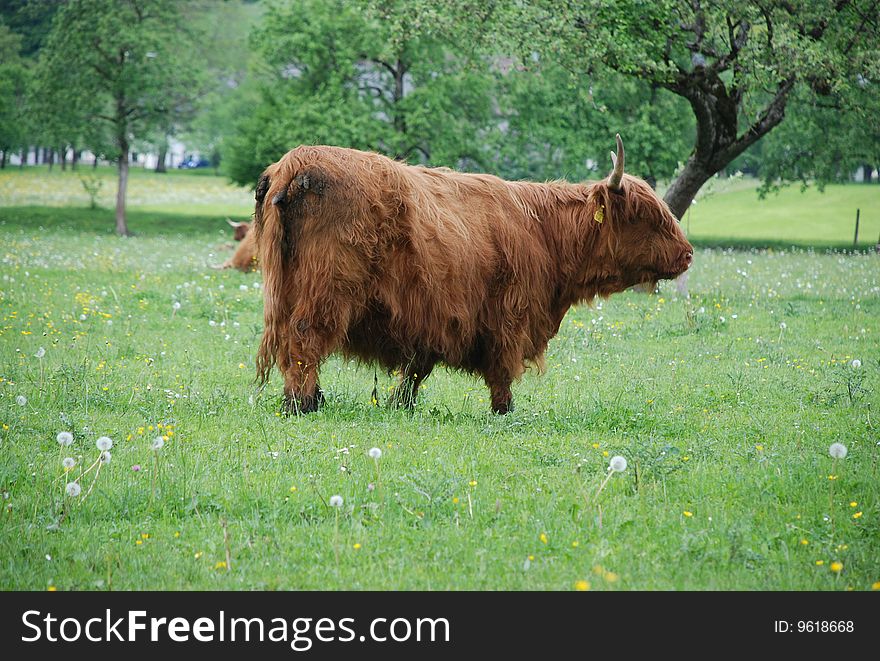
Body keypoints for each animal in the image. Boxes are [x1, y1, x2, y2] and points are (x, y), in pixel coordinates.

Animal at [251, 135, 692, 412]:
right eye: (647, 216)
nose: (687, 254)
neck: (544, 233)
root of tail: (295, 164)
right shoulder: (508, 318)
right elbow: (502, 375)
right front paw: (504, 412)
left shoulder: (430, 321)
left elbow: (415, 373)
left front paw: (399, 406)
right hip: (325, 292)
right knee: (305, 343)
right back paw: (304, 404)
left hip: (283, 291)